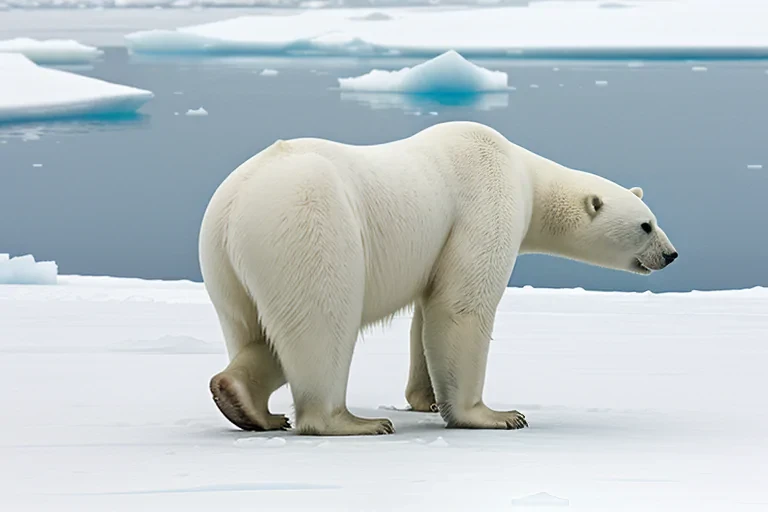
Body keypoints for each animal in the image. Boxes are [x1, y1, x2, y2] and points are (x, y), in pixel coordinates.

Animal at [198, 121, 678, 436]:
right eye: (646, 226)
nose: (671, 255)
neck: (524, 172)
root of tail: (234, 205)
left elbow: (425, 314)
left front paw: (425, 399)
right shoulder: (485, 200)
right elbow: (461, 306)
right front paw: (494, 415)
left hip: (225, 267)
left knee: (257, 332)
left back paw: (244, 403)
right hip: (309, 222)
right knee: (324, 322)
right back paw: (352, 421)